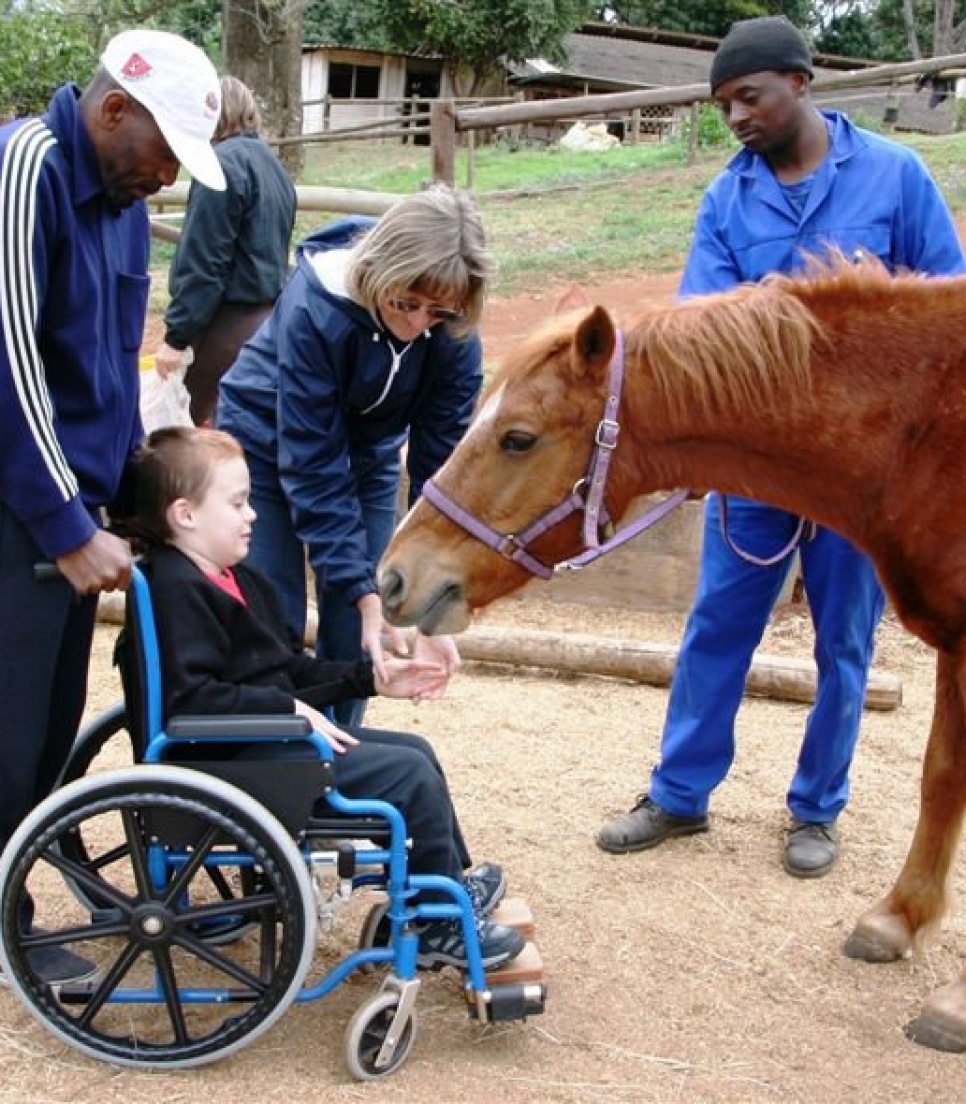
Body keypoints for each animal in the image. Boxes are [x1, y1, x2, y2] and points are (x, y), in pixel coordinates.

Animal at [379, 260, 966, 1051]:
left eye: (518, 439)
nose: (393, 576)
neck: (927, 425)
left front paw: (951, 1001)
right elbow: (941, 778)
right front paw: (899, 919)